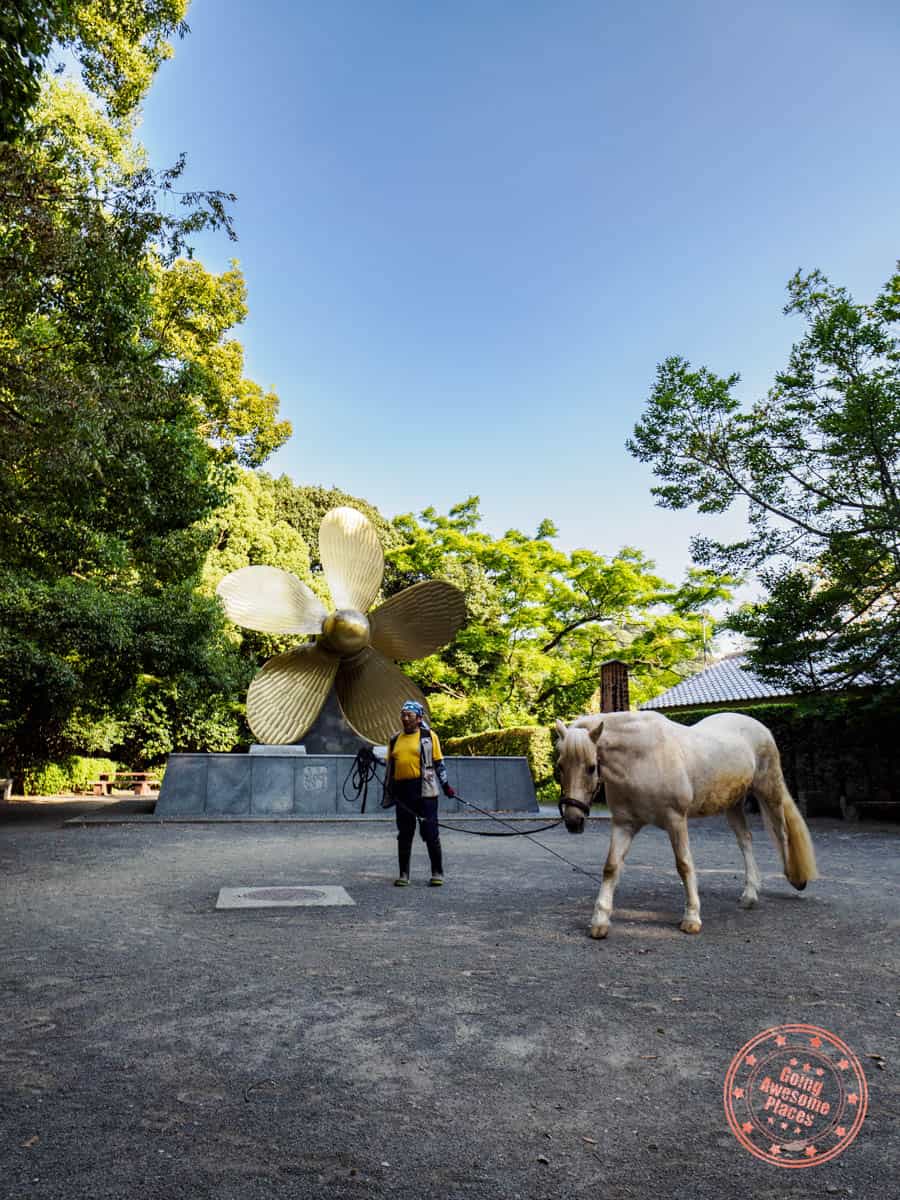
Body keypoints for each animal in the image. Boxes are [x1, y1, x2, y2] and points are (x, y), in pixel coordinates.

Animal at [554, 710, 820, 936]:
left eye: (591, 768)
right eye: (560, 767)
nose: (573, 821)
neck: (641, 758)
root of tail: (760, 727)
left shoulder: (676, 821)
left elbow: (684, 865)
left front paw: (691, 918)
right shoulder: (624, 824)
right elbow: (610, 867)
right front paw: (599, 921)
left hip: (769, 790)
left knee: (782, 832)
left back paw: (795, 877)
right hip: (733, 804)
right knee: (745, 840)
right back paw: (750, 895)